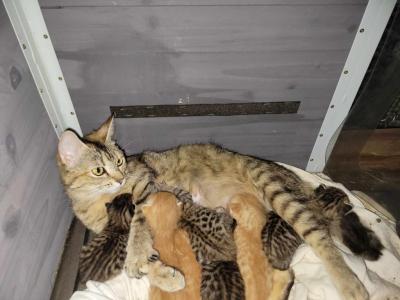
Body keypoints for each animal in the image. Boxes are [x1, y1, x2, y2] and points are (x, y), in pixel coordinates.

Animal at [56, 117, 368, 300]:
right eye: (99, 170)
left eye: (120, 162)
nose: (120, 177)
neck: (95, 202)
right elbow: (151, 256)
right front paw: (164, 275)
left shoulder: (149, 190)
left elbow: (138, 227)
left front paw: (136, 258)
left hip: (275, 189)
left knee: (321, 239)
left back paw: (351, 285)